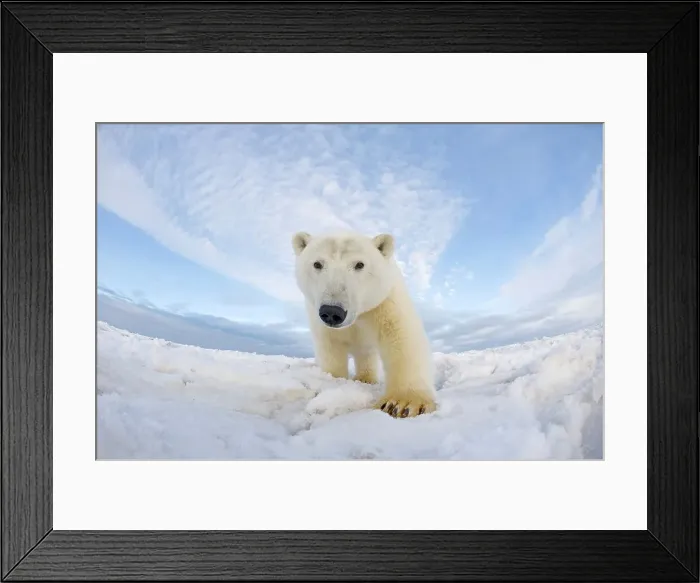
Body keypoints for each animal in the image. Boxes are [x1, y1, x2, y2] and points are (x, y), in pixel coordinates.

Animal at [292, 230, 437, 418]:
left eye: (359, 264)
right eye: (317, 264)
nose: (332, 311)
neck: (359, 314)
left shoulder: (384, 302)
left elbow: (401, 336)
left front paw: (401, 403)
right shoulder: (318, 316)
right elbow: (331, 347)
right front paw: (334, 381)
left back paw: (365, 378)